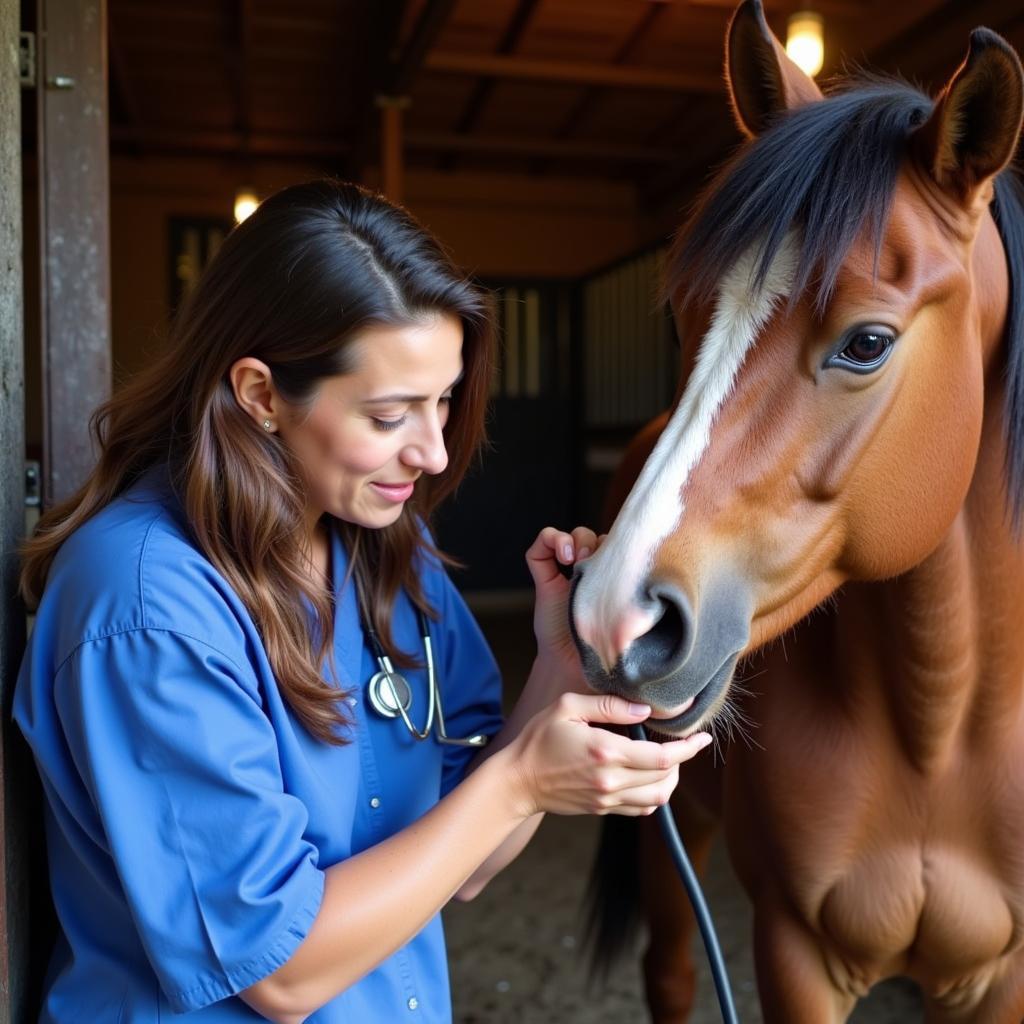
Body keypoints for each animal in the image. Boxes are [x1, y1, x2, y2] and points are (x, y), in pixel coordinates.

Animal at [569, 4, 1024, 1019]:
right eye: (683, 314)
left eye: (867, 342)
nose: (616, 617)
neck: (939, 737)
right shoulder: (794, 951)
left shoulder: (1000, 979)